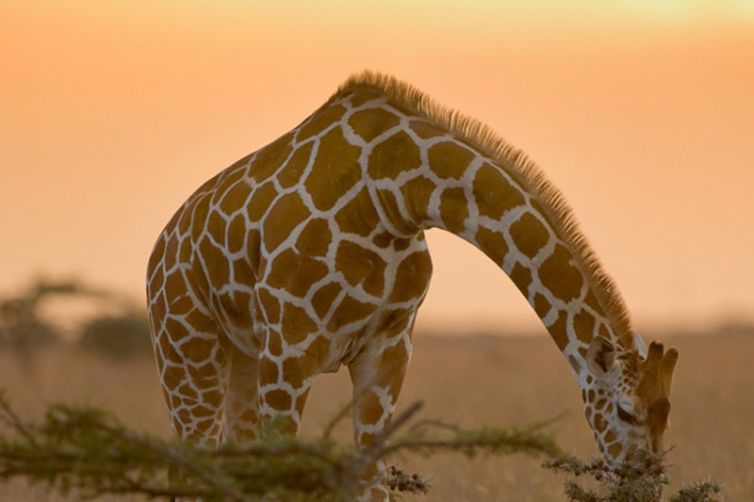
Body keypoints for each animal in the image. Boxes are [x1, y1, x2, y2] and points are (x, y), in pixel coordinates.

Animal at [146, 71, 679, 499]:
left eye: (666, 414)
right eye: (626, 412)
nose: (645, 490)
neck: (394, 193)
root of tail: (159, 250)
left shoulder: (388, 348)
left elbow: (372, 482)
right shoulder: (289, 349)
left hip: (241, 355)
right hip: (187, 353)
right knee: (189, 466)